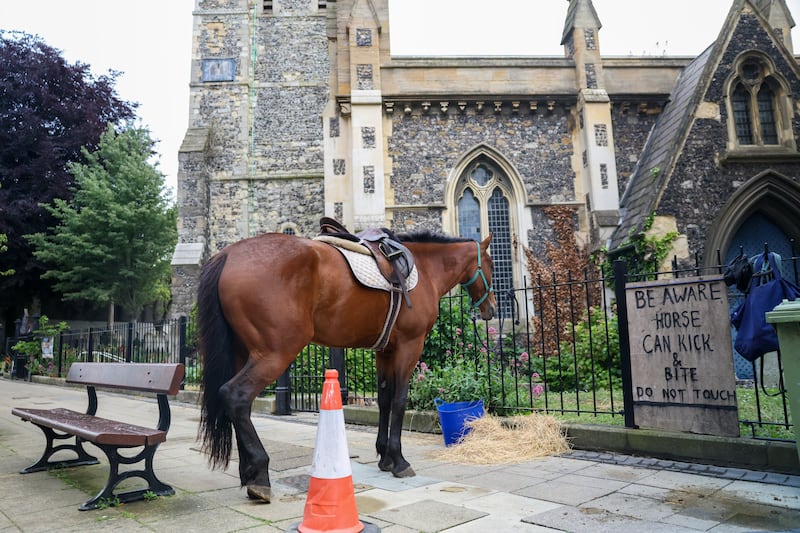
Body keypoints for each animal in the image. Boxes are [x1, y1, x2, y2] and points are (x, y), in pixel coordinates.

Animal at [196, 228, 496, 502]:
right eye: (492, 265)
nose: (491, 309)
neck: (424, 269)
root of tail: (229, 254)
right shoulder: (409, 347)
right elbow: (399, 401)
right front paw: (398, 460)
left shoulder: (385, 351)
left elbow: (384, 400)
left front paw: (384, 456)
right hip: (276, 352)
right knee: (235, 396)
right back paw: (260, 473)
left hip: (243, 353)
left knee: (239, 405)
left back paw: (249, 473)